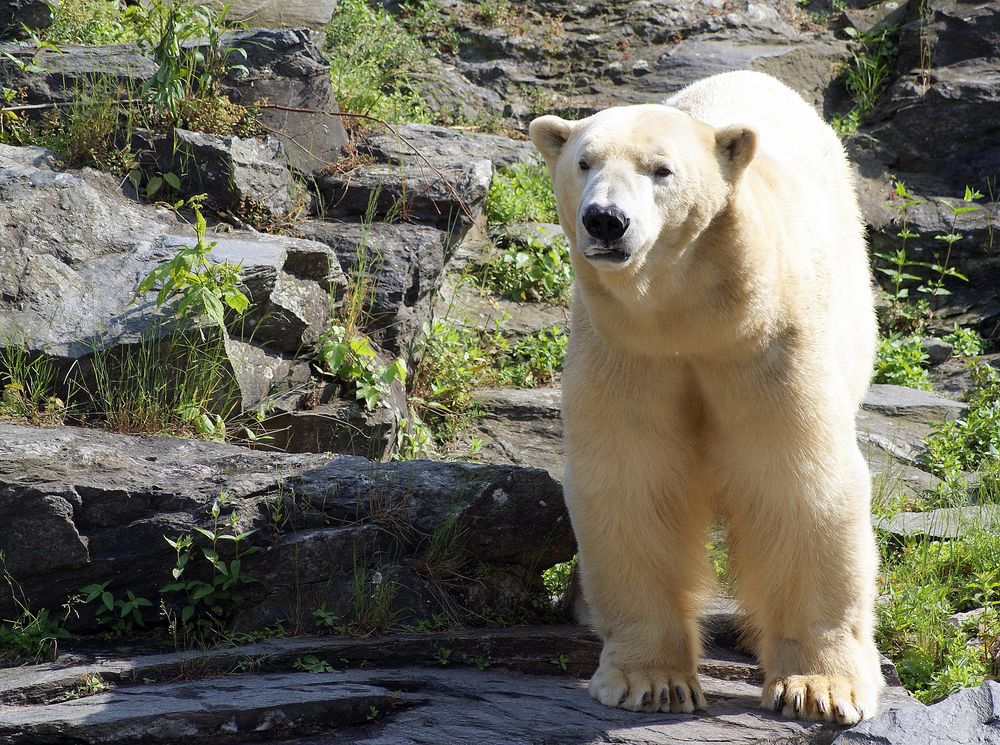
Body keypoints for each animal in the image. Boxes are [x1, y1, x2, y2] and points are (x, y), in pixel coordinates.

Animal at [532, 71, 884, 720]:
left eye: (661, 169)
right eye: (584, 162)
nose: (605, 220)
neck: (693, 317)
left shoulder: (769, 344)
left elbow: (798, 481)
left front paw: (818, 688)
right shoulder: (628, 353)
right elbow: (634, 480)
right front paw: (651, 681)